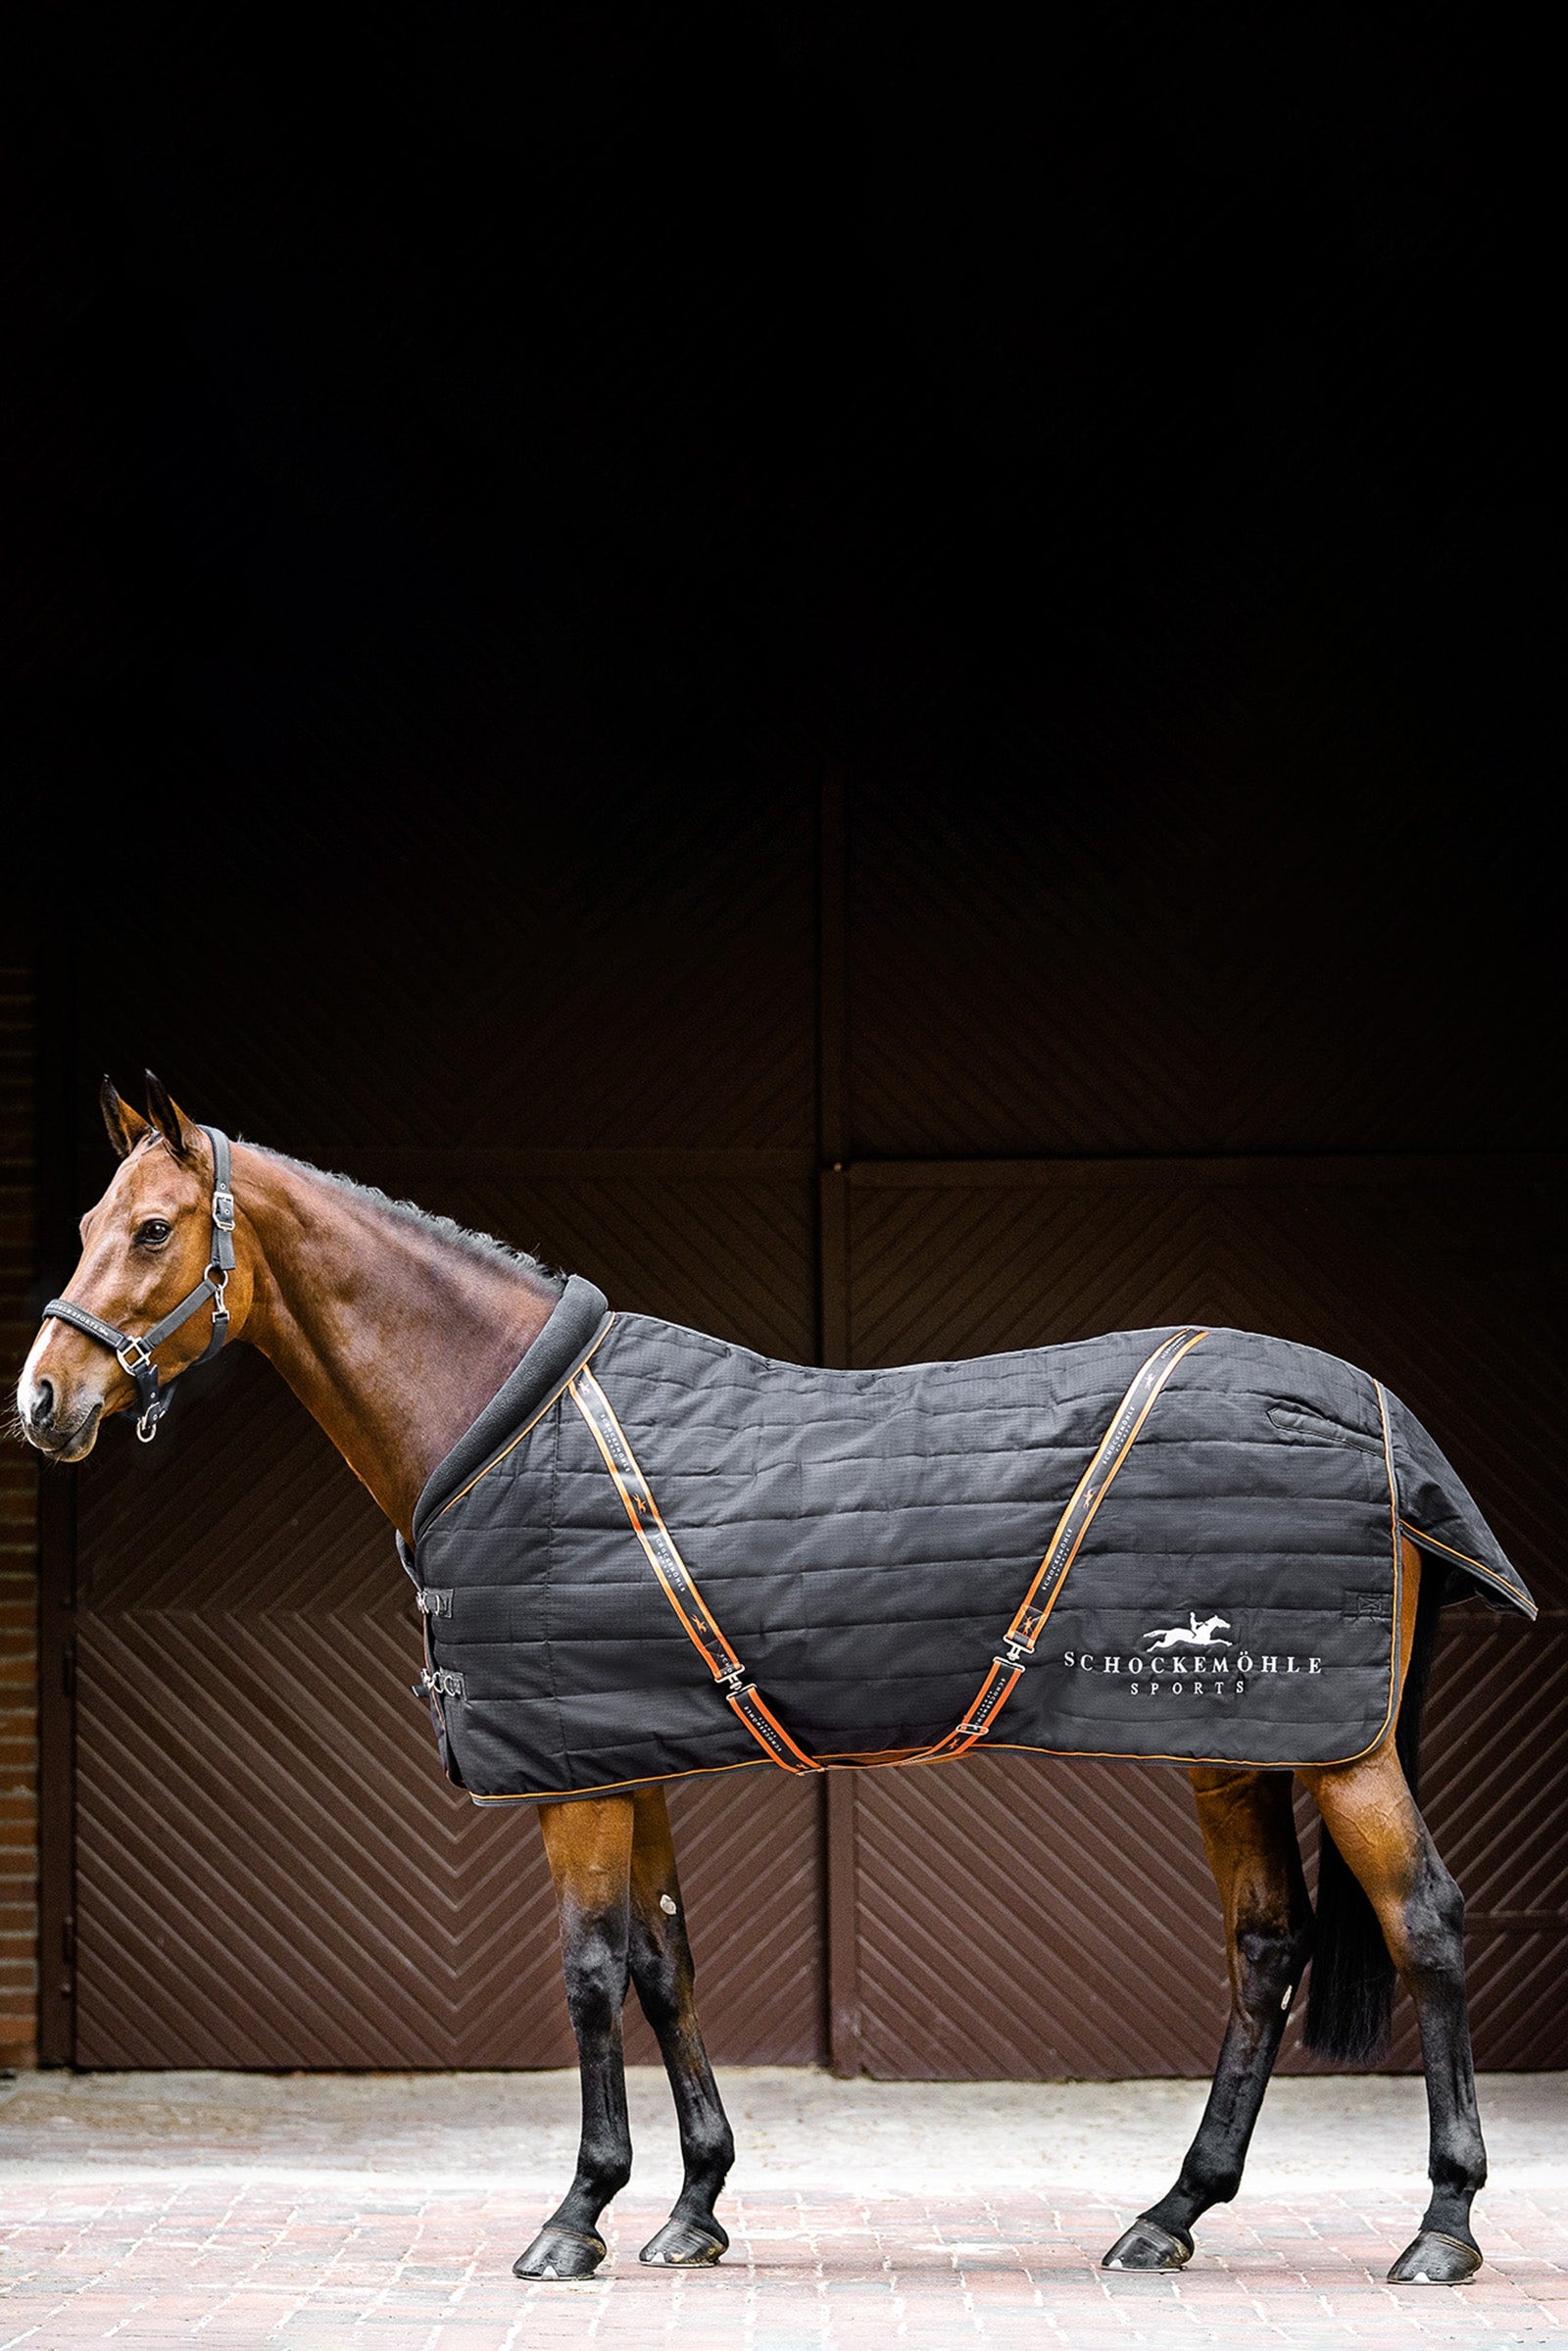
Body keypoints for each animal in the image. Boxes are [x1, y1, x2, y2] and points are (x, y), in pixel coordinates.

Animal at [15, 1073, 1507, 2288]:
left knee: (1423, 1925)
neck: (504, 1419)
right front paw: (693, 2205)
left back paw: (1441, 2225)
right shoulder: (627, 1754)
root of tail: (1380, 1420)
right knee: (1265, 1946)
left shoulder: (575, 1779)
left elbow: (587, 1971)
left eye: (153, 1229)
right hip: (1234, 1744)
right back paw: (1170, 2212)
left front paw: (576, 2214)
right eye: (87, 1215)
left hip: (1339, 1749)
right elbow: (665, 1962)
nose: (39, 1400)